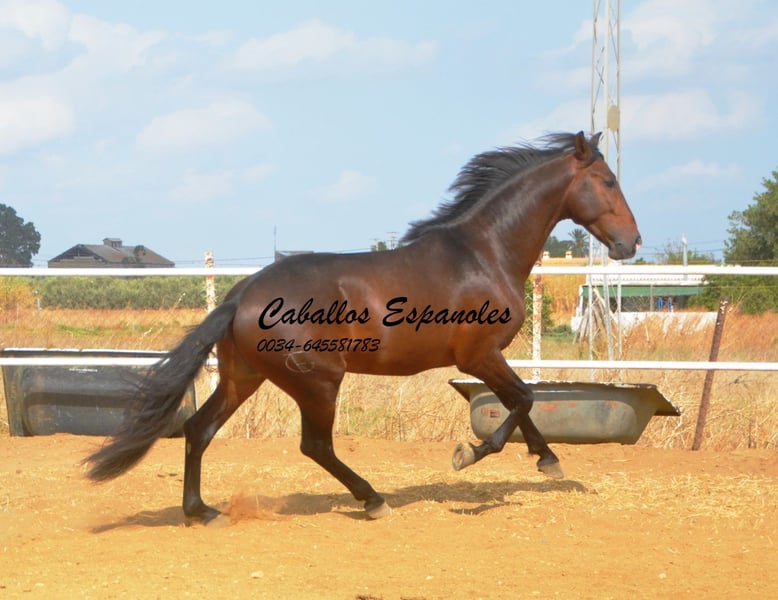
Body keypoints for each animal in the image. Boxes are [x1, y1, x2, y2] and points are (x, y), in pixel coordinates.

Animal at [85, 131, 641, 523]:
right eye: (609, 182)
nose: (631, 243)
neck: (484, 253)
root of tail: (241, 294)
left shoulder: (486, 359)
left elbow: (522, 402)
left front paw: (547, 459)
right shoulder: (479, 355)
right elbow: (522, 399)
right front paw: (470, 453)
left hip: (245, 376)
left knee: (199, 429)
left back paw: (201, 511)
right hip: (318, 381)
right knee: (315, 446)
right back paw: (372, 500)